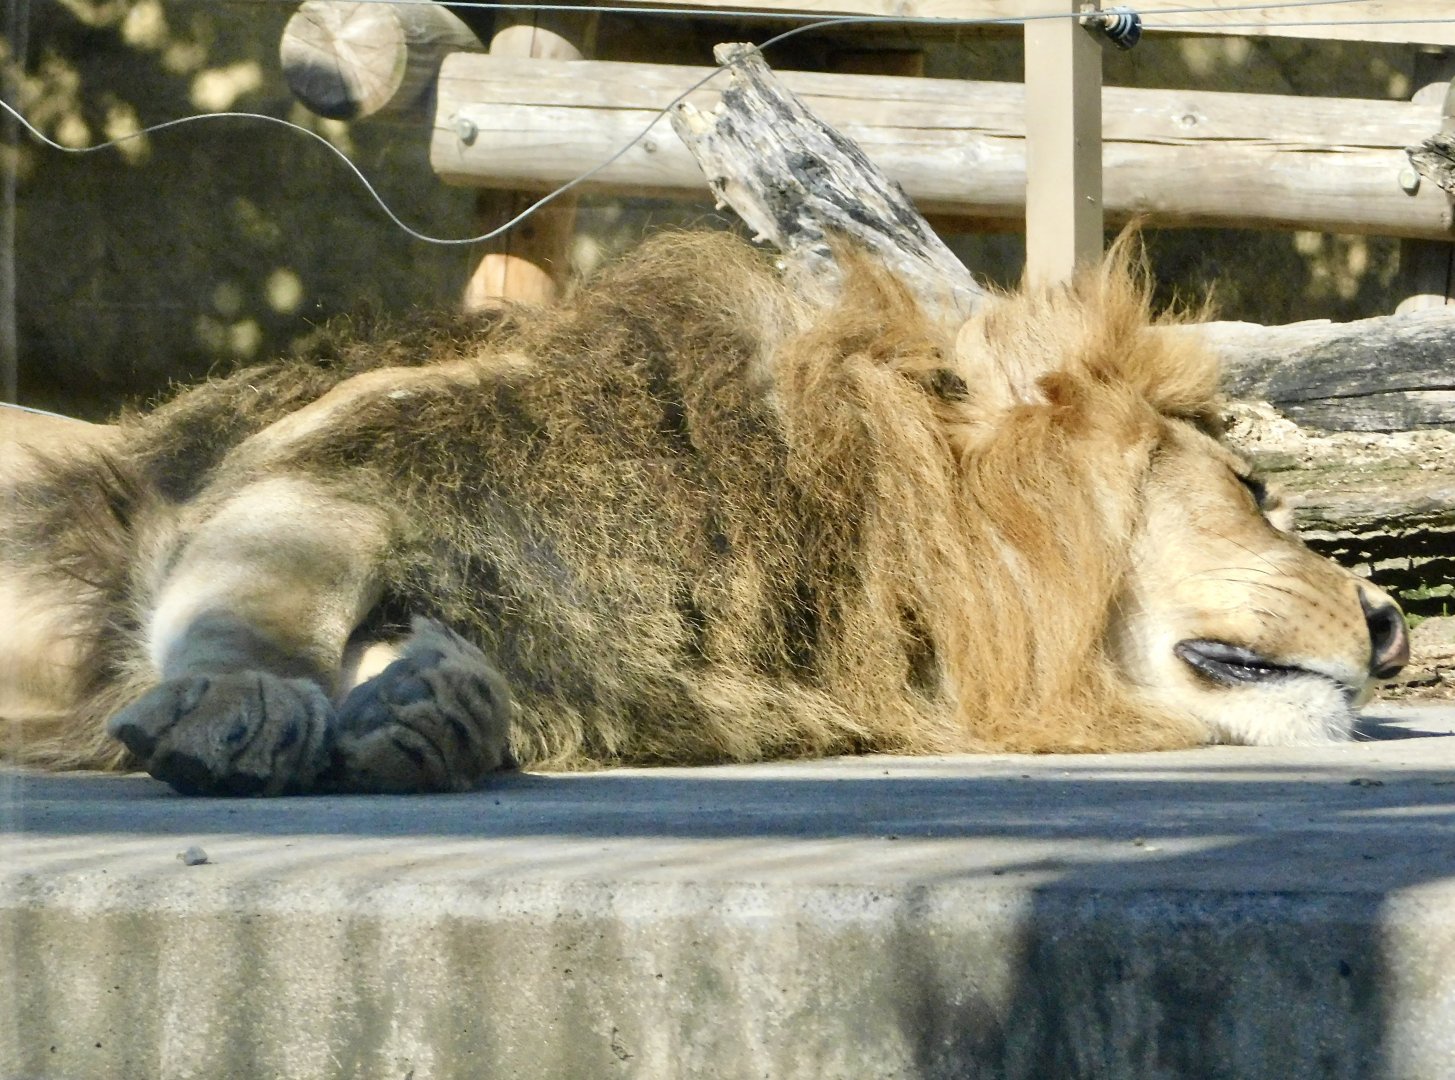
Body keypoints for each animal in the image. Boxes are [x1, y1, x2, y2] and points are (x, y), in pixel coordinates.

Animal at [0, 231, 1409, 795]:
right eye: (1252, 492)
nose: (1396, 625)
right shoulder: (340, 462)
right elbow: (258, 602)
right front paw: (242, 706)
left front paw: (428, 705)